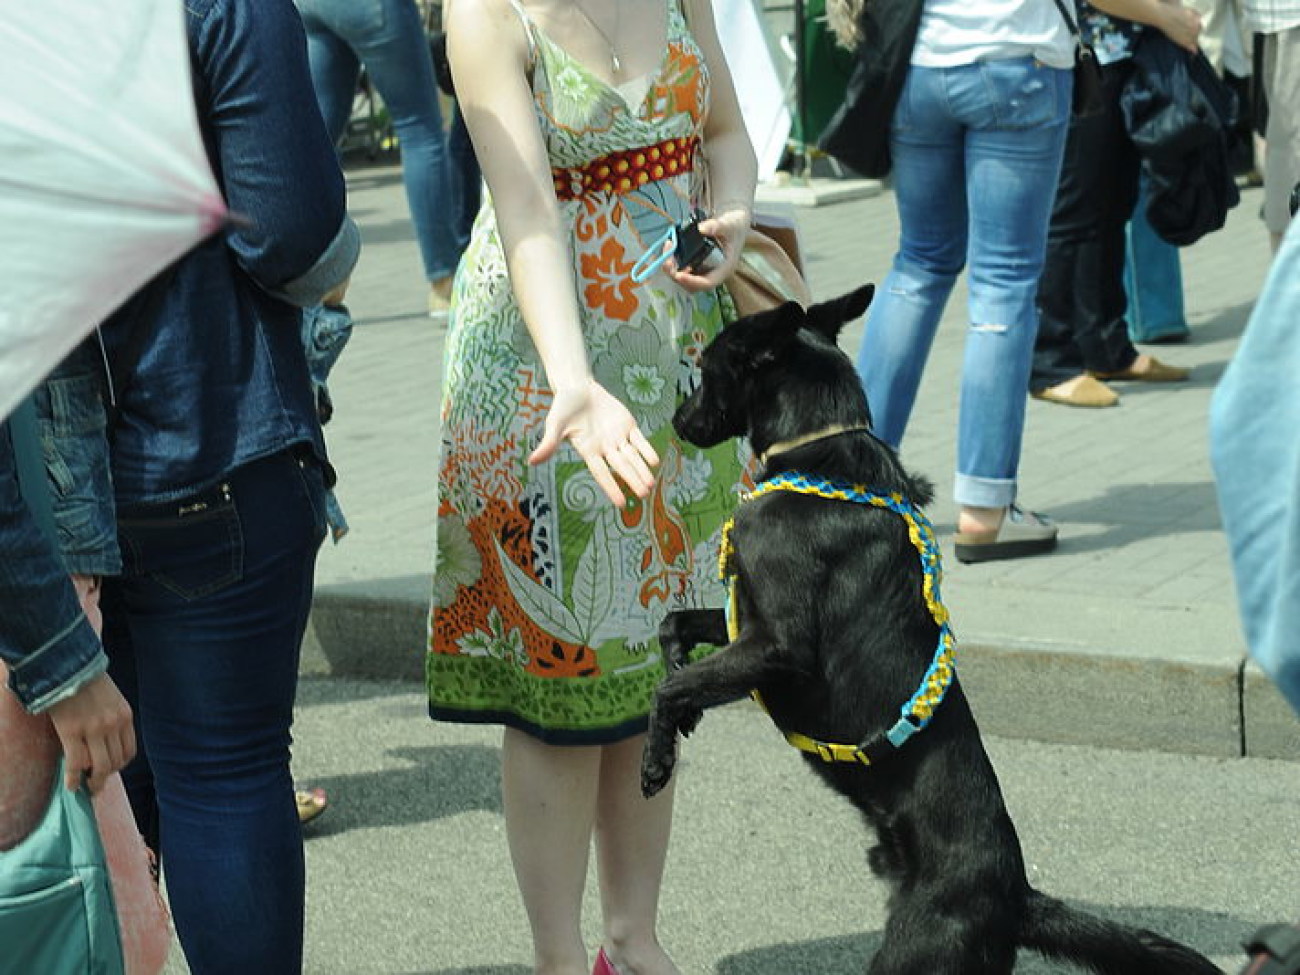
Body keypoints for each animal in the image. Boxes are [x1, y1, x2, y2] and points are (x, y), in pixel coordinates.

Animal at [639, 288, 1216, 975]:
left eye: (706, 370)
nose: (679, 420)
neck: (819, 457)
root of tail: (1016, 895)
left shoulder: (777, 647)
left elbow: (669, 687)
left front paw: (656, 758)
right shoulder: (743, 624)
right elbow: (675, 629)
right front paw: (682, 706)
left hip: (914, 951)